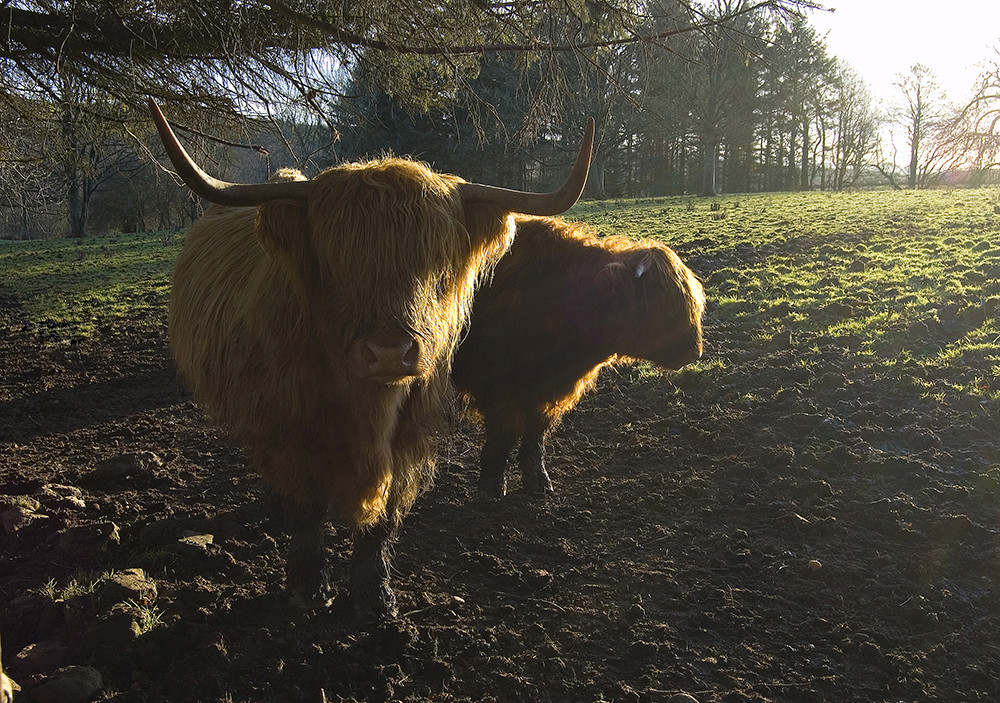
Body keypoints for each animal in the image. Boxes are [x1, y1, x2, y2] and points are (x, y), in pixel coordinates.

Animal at [150, 100, 592, 620]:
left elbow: (385, 515)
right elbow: (306, 512)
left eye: (438, 267)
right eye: (334, 264)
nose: (389, 352)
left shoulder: (409, 437)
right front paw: (305, 589)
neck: (366, 410)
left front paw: (373, 596)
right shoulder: (286, 429)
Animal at [454, 217, 704, 498]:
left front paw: (538, 481)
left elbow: (535, 437)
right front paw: (492, 484)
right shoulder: (499, 387)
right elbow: (502, 436)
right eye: (660, 305)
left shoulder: (549, 392)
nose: (695, 352)